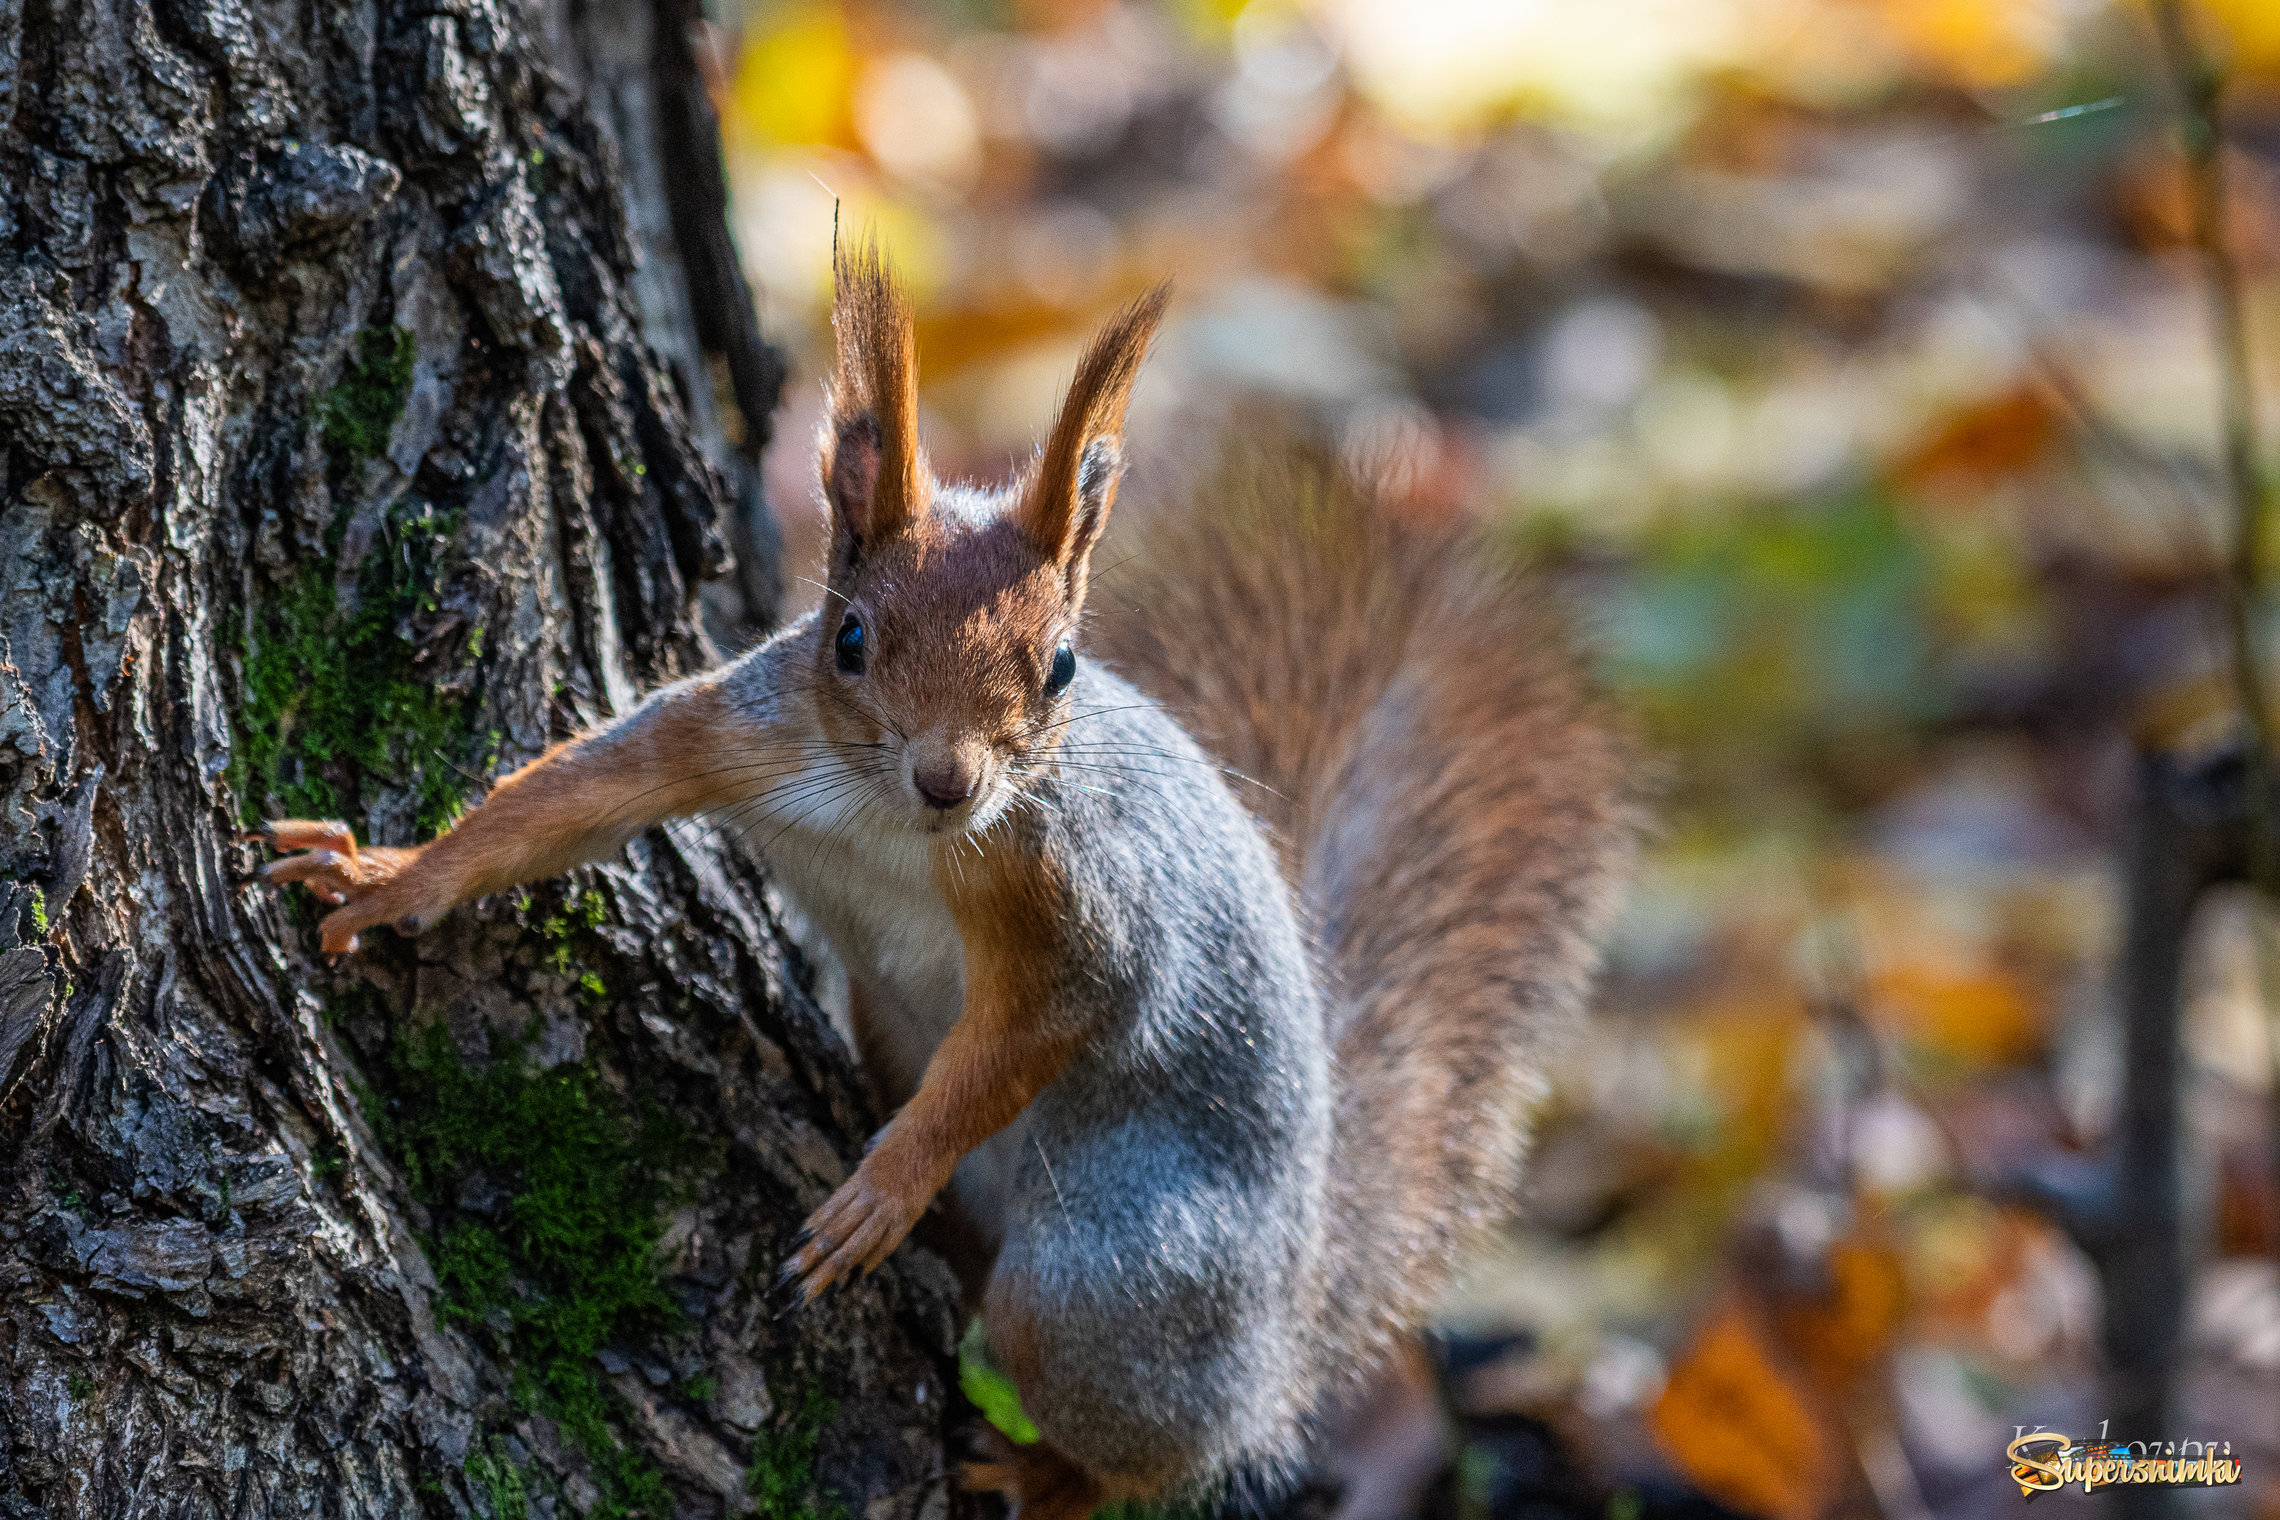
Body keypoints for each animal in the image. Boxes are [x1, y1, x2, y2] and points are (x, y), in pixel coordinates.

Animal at [258, 249, 1641, 1520]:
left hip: (1111, 1278)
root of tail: (1282, 1343)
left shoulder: (1075, 896)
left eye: (1064, 664)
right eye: (850, 638)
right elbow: (557, 804)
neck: (886, 822)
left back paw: (1043, 1470)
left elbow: (1040, 1027)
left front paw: (882, 1187)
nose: (949, 779)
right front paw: (380, 874)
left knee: (1145, 1446)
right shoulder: (726, 731)